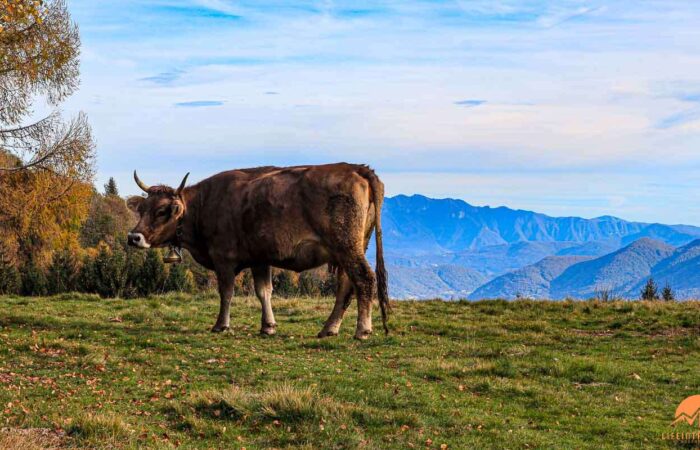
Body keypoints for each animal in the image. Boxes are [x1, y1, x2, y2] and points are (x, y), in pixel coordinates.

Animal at [126, 163, 388, 340]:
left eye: (161, 211)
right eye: (142, 209)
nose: (133, 237)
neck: (203, 205)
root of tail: (355, 168)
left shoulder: (223, 258)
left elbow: (227, 292)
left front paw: (221, 325)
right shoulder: (260, 258)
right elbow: (264, 292)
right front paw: (268, 326)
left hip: (347, 247)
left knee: (364, 279)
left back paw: (362, 329)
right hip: (351, 248)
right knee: (346, 285)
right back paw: (329, 328)